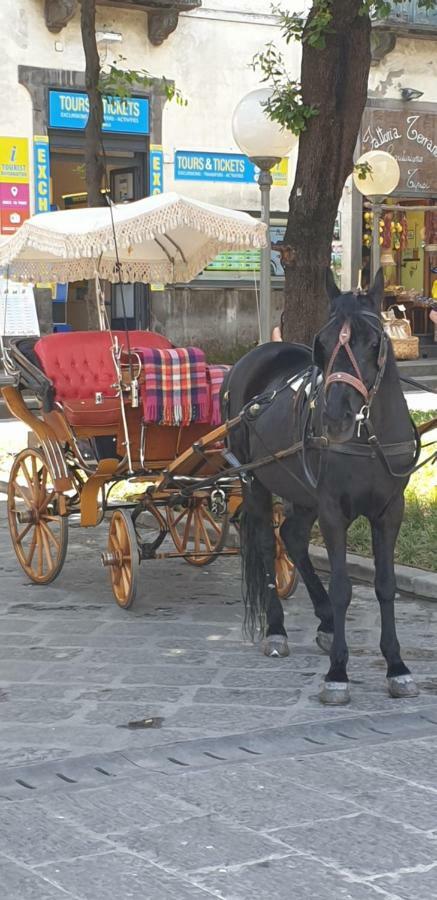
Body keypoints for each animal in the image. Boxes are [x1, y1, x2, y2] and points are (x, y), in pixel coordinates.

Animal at [223, 270, 420, 708]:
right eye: (323, 343)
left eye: (374, 341)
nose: (334, 416)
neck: (368, 437)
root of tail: (251, 357)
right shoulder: (333, 511)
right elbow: (343, 587)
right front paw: (337, 673)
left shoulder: (390, 511)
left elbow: (385, 585)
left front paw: (396, 667)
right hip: (255, 480)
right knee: (267, 544)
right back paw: (277, 630)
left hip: (301, 490)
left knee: (292, 535)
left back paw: (327, 621)